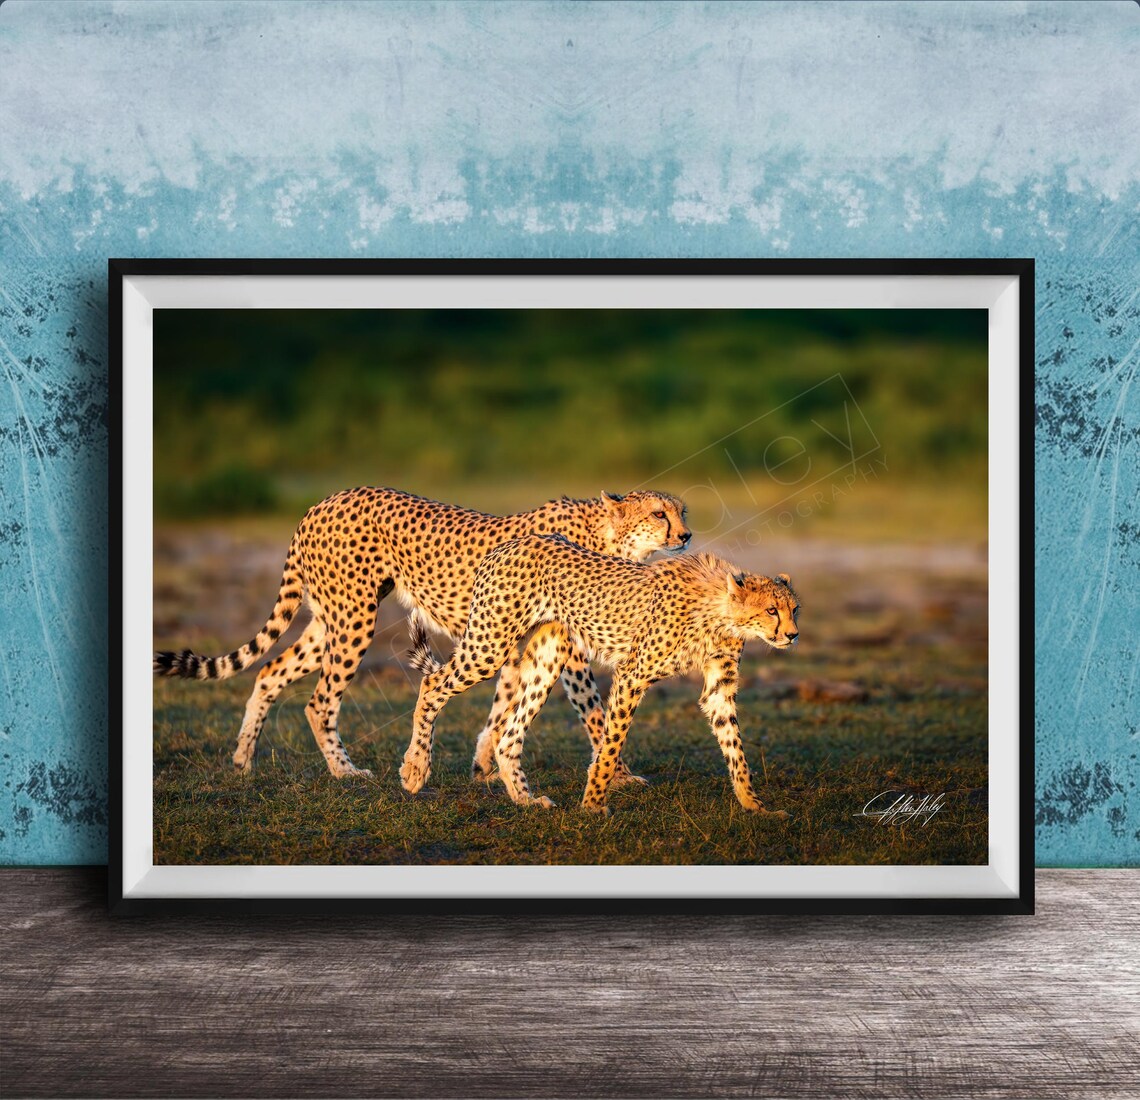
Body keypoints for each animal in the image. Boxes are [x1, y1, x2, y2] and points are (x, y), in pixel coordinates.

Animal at [154, 487, 690, 780]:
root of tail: (323, 501)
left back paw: (243, 761)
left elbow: (502, 705)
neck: (609, 540)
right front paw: (618, 775)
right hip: (354, 618)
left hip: (330, 618)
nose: (686, 536)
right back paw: (345, 772)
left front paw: (484, 765)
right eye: (658, 514)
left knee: (269, 672)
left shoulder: (515, 643)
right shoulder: (565, 649)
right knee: (320, 700)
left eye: (682, 512)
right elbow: (594, 711)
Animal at [403, 532, 800, 817]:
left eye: (794, 609)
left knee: (508, 734)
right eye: (771, 610)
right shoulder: (632, 675)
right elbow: (610, 745)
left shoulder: (719, 687)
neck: (720, 612)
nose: (793, 635)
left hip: (549, 657)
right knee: (432, 683)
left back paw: (525, 800)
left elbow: (735, 748)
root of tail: (508, 545)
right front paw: (593, 803)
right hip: (490, 646)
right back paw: (415, 769)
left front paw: (755, 806)